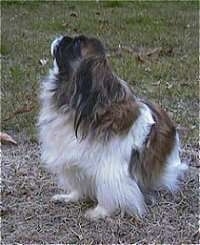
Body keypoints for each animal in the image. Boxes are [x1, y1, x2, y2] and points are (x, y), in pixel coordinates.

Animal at [38, 34, 188, 220]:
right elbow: (78, 185)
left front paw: (99, 212)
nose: (62, 37)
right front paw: (71, 197)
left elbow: (107, 193)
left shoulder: (110, 170)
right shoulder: (75, 163)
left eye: (76, 43)